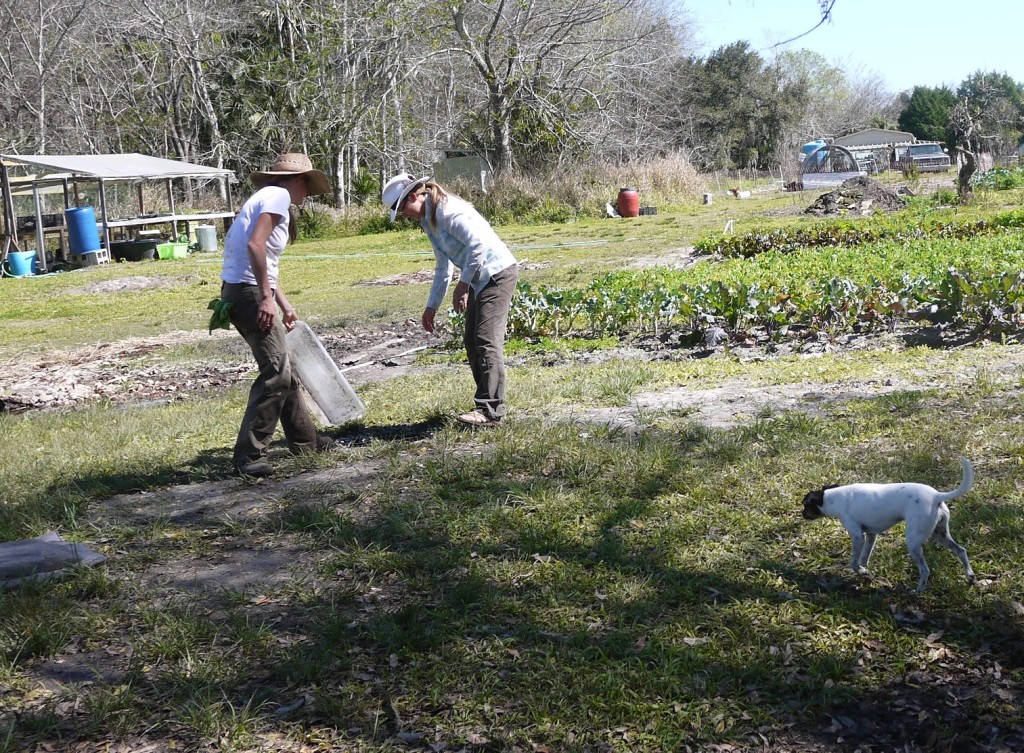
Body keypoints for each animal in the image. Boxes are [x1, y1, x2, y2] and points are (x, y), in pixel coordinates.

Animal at [798, 456, 974, 590]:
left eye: (805, 505)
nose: (802, 514)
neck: (834, 498)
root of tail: (937, 495)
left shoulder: (857, 536)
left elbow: (854, 562)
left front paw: (861, 572)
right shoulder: (871, 535)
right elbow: (864, 558)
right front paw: (866, 574)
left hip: (913, 542)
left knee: (925, 570)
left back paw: (918, 591)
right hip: (940, 534)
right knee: (961, 550)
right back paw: (970, 576)